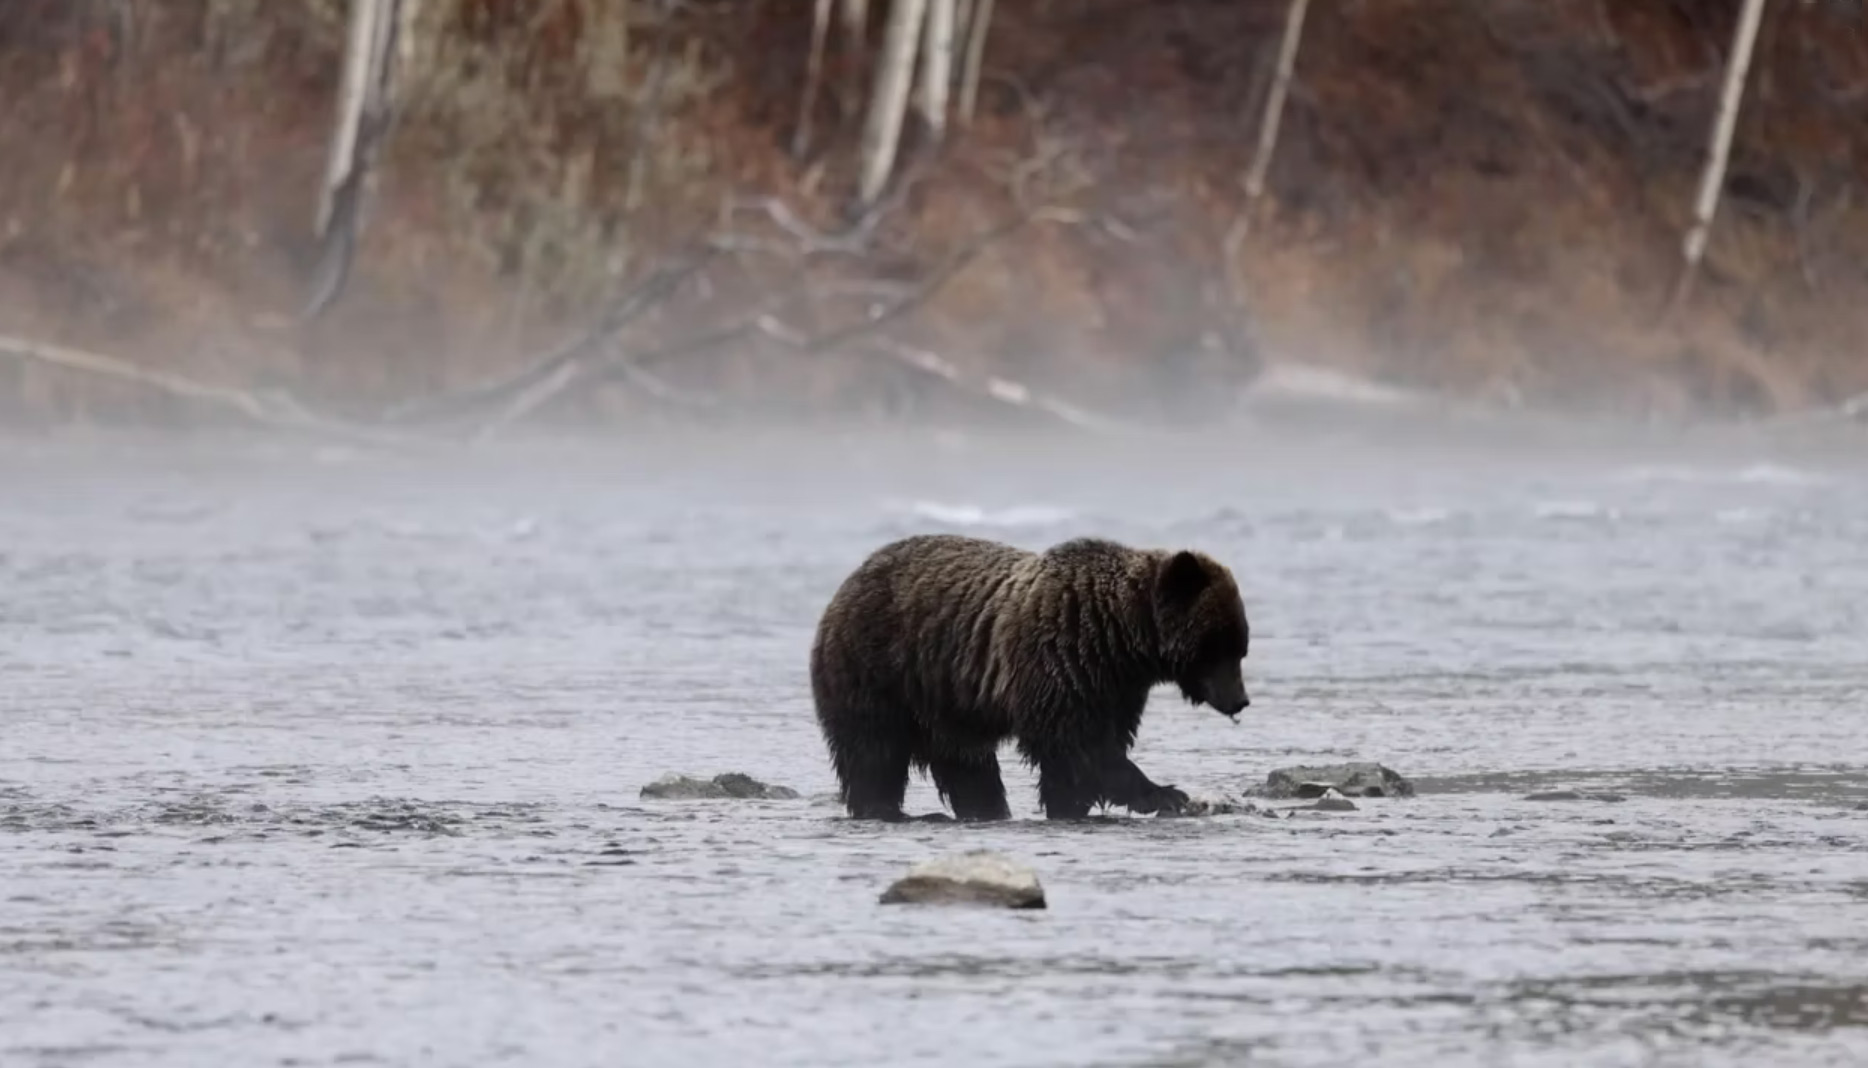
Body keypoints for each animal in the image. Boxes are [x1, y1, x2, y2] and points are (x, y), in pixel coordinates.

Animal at [809, 533, 1251, 822]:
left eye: (1240, 646)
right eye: (1220, 646)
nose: (1240, 700)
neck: (1121, 637)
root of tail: (848, 582)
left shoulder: (1116, 688)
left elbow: (1092, 747)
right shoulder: (1059, 662)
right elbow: (1078, 746)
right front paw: (1166, 794)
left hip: (943, 702)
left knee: (966, 764)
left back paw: (986, 809)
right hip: (878, 670)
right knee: (873, 752)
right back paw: (879, 806)